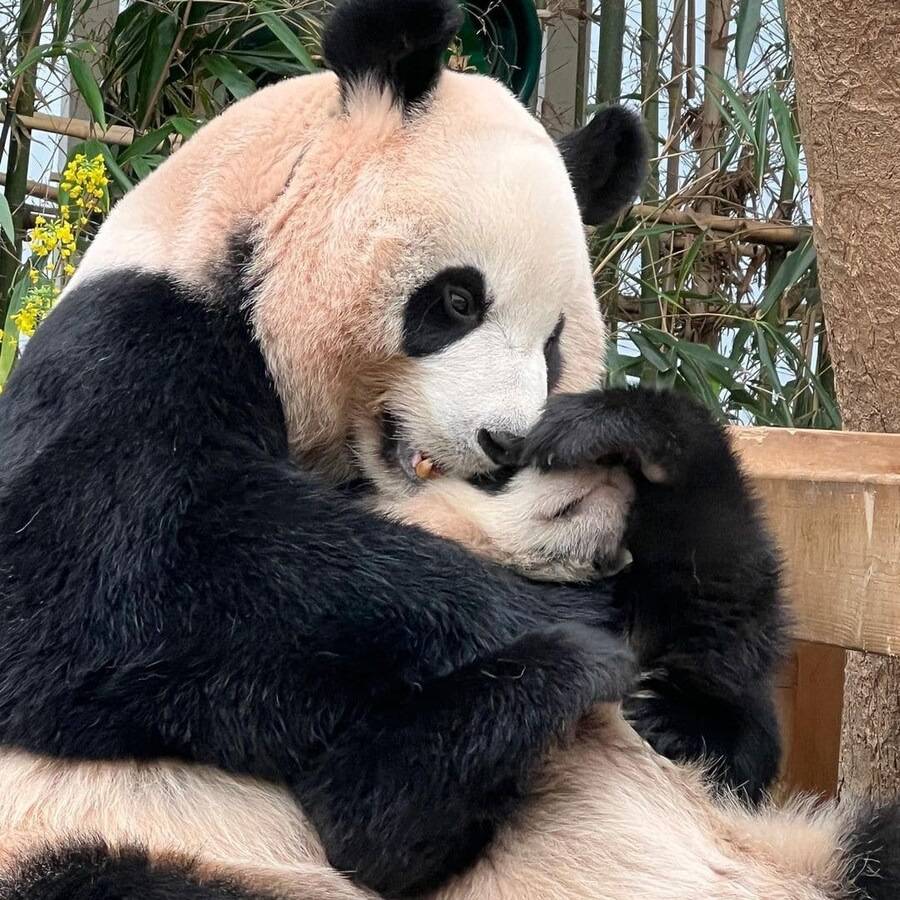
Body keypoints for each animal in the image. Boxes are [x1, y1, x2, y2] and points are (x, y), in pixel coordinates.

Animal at [0, 0, 896, 896]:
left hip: (810, 847)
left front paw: (636, 443)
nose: (505, 441)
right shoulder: (137, 340)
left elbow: (734, 721)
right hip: (132, 848)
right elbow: (106, 578)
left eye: (554, 345)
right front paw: (564, 638)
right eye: (458, 300)